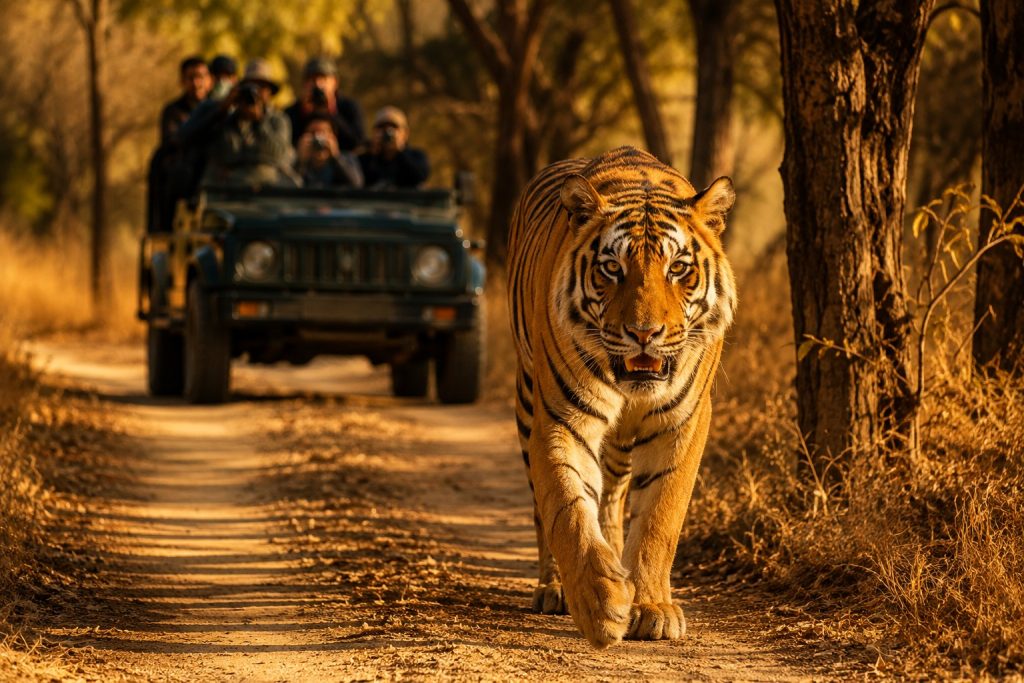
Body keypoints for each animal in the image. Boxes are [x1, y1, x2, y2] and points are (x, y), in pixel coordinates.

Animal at [506, 146, 736, 648]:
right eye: (612, 268)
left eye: (678, 268)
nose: (644, 333)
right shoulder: (561, 418)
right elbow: (569, 510)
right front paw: (600, 605)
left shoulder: (684, 421)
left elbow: (658, 518)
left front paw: (650, 607)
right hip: (527, 399)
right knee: (545, 507)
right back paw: (555, 588)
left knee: (612, 497)